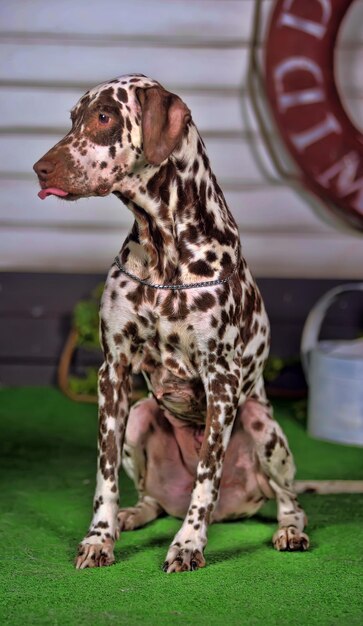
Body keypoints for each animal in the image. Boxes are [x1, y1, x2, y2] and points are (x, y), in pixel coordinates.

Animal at [32, 73, 312, 572]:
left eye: (104, 116)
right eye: (74, 118)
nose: (39, 169)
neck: (164, 251)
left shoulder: (221, 381)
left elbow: (207, 474)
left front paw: (188, 544)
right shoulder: (113, 374)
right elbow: (103, 477)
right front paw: (99, 537)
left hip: (262, 424)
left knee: (290, 501)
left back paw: (289, 531)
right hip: (141, 416)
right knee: (151, 499)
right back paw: (131, 516)